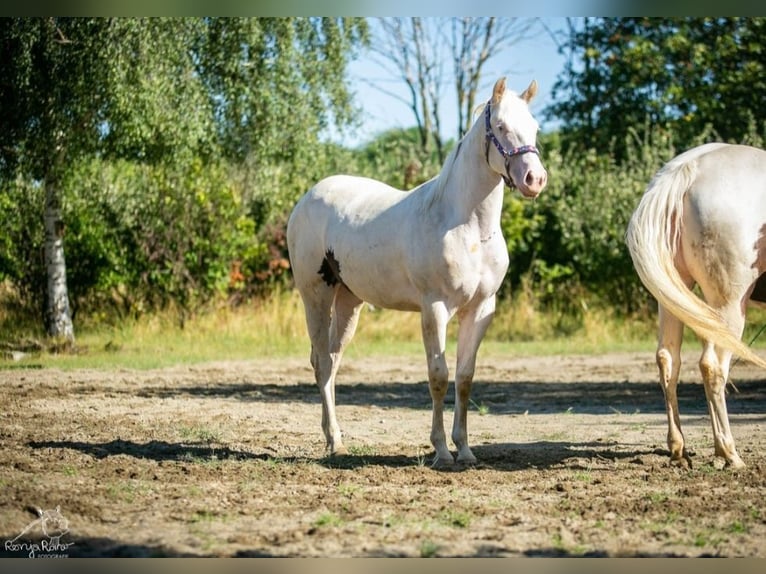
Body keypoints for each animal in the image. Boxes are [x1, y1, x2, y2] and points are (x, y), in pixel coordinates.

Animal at [286, 77, 544, 468]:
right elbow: (438, 376)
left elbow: (464, 378)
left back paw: (337, 440)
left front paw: (465, 449)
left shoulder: (481, 309)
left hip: (349, 303)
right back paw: (334, 441)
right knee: (320, 363)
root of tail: (306, 199)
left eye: (535, 128)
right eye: (500, 127)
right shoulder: (434, 308)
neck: (467, 227)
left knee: (331, 361)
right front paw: (441, 451)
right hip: (316, 297)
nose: (535, 179)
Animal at [628, 142, 766, 470]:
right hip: (729, 304)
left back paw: (679, 449)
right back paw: (728, 452)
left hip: (673, 296)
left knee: (668, 359)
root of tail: (687, 172)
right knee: (712, 367)